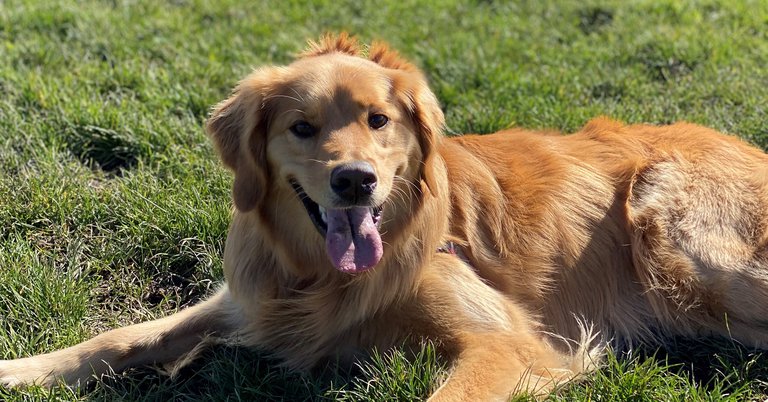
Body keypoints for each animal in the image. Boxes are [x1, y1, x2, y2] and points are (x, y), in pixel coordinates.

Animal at [1, 33, 768, 400]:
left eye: (379, 121)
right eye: (303, 127)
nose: (355, 181)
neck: (319, 278)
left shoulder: (508, 342)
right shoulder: (251, 298)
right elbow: (124, 336)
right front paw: (22, 371)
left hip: (677, 241)